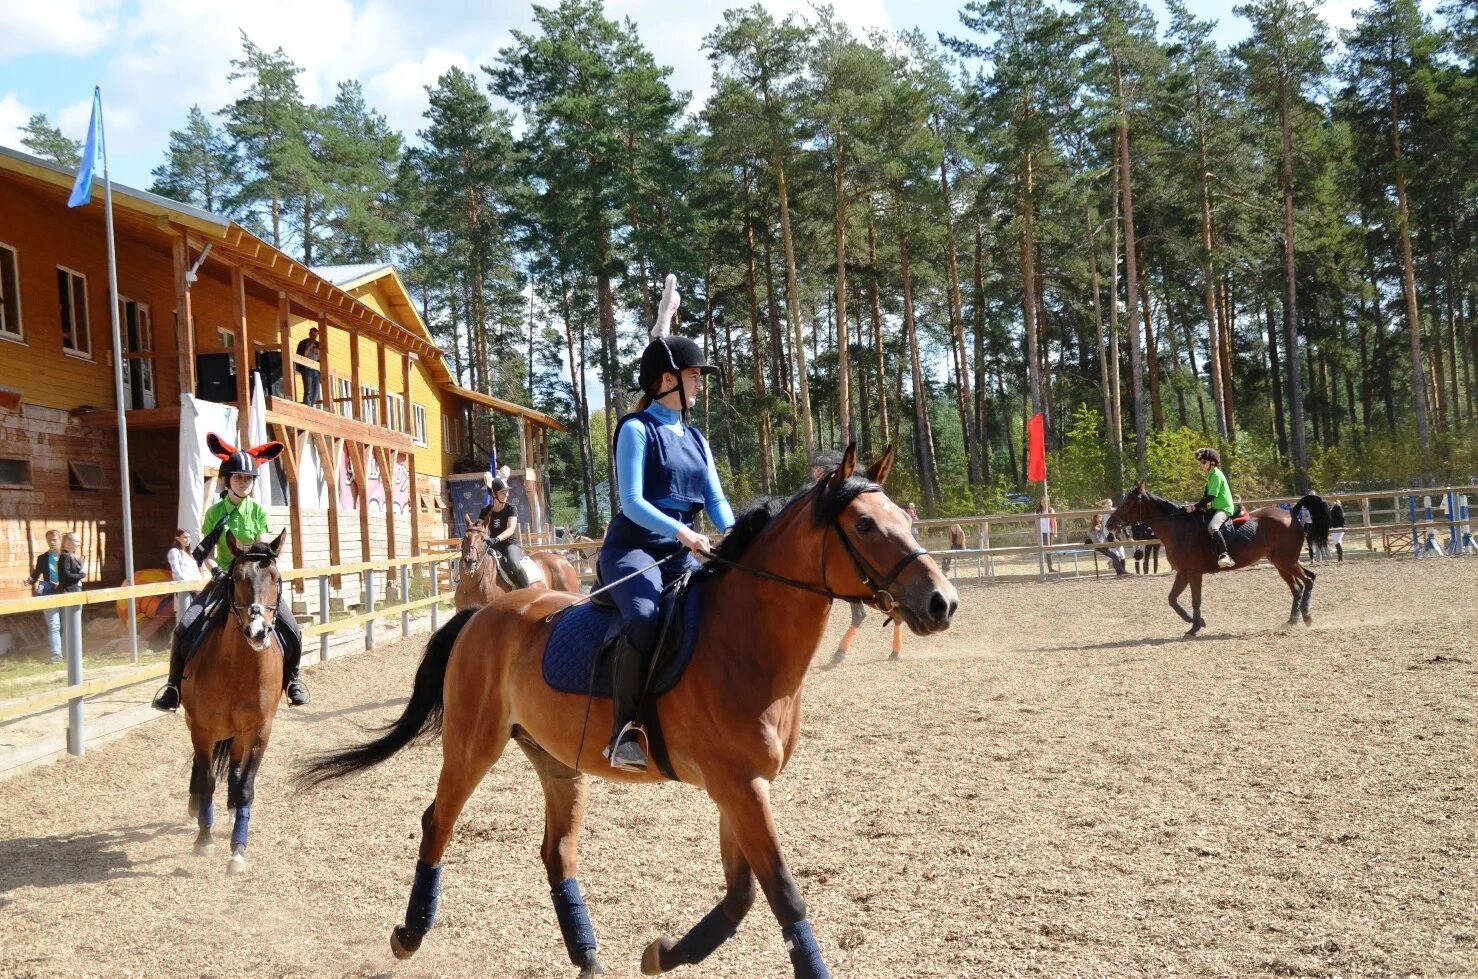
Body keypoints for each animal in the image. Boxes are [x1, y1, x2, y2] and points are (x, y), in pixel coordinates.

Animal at [300, 449, 957, 979]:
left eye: (905, 519)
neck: (744, 641)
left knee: (557, 851)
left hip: (557, 761)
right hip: (472, 744)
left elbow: (741, 894)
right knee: (438, 822)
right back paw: (410, 934)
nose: (942, 602)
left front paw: (663, 954)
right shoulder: (739, 785)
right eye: (865, 525)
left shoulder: (740, 787)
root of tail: (484, 613)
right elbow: (781, 894)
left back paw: (587, 955)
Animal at [1105, 482, 1336, 635]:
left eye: (1129, 502)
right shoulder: (1183, 573)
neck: (1178, 528)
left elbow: (1195, 599)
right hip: (1280, 563)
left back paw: (1306, 616)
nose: (1109, 524)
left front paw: (1194, 628)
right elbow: (1172, 599)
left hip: (1287, 561)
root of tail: (1292, 514)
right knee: (1298, 587)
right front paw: (1196, 621)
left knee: (1308, 580)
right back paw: (1292, 621)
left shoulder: (1194, 573)